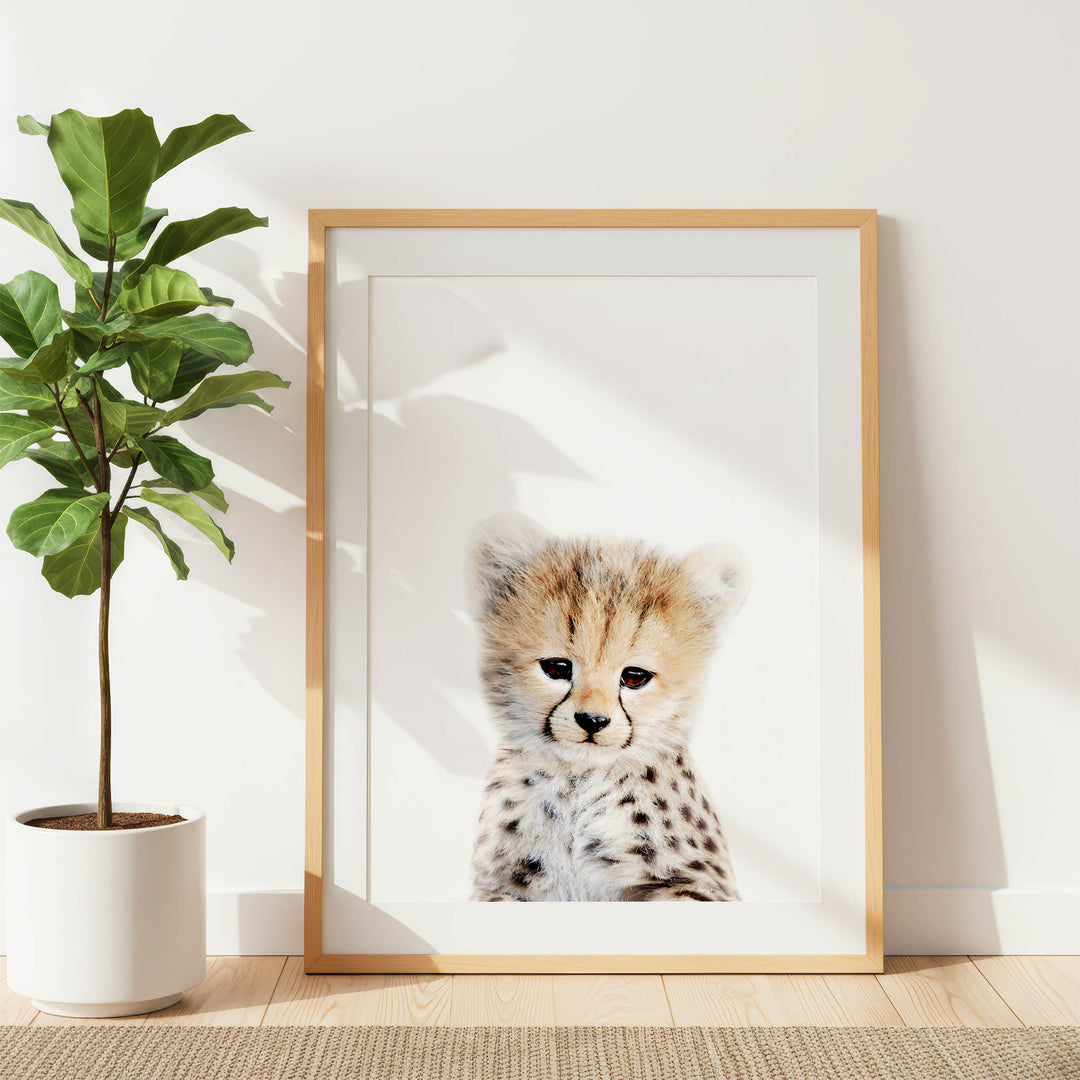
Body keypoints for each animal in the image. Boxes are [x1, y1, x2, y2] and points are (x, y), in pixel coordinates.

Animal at [468, 514, 748, 902]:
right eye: (557, 668)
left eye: (634, 677)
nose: (592, 720)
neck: (578, 786)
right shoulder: (500, 886)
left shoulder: (699, 885)